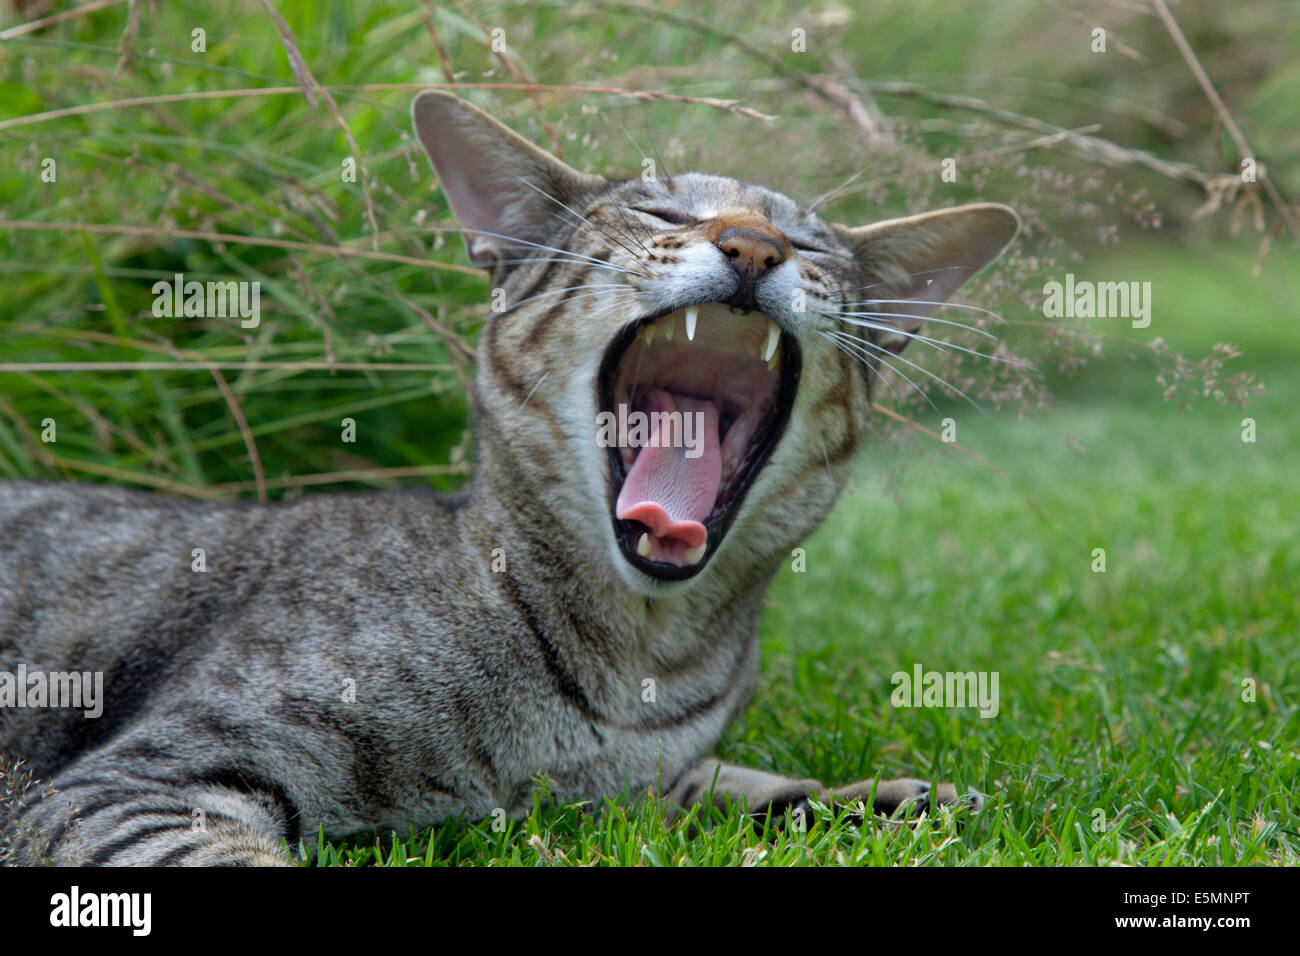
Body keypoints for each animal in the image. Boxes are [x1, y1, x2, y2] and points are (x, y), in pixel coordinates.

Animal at [0, 91, 1013, 868]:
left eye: (808, 243)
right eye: (663, 214)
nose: (753, 247)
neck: (638, 663)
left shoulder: (646, 786)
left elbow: (735, 781)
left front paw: (879, 796)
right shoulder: (136, 781)